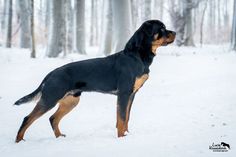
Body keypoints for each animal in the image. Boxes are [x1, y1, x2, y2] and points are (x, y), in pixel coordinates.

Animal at [14, 19, 175, 142]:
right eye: (161, 28)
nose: (174, 32)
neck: (136, 56)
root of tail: (50, 74)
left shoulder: (131, 95)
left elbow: (126, 118)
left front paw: (127, 135)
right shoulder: (123, 94)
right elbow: (122, 119)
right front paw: (122, 138)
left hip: (71, 100)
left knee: (53, 118)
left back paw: (59, 137)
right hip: (50, 99)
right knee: (27, 118)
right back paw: (19, 141)